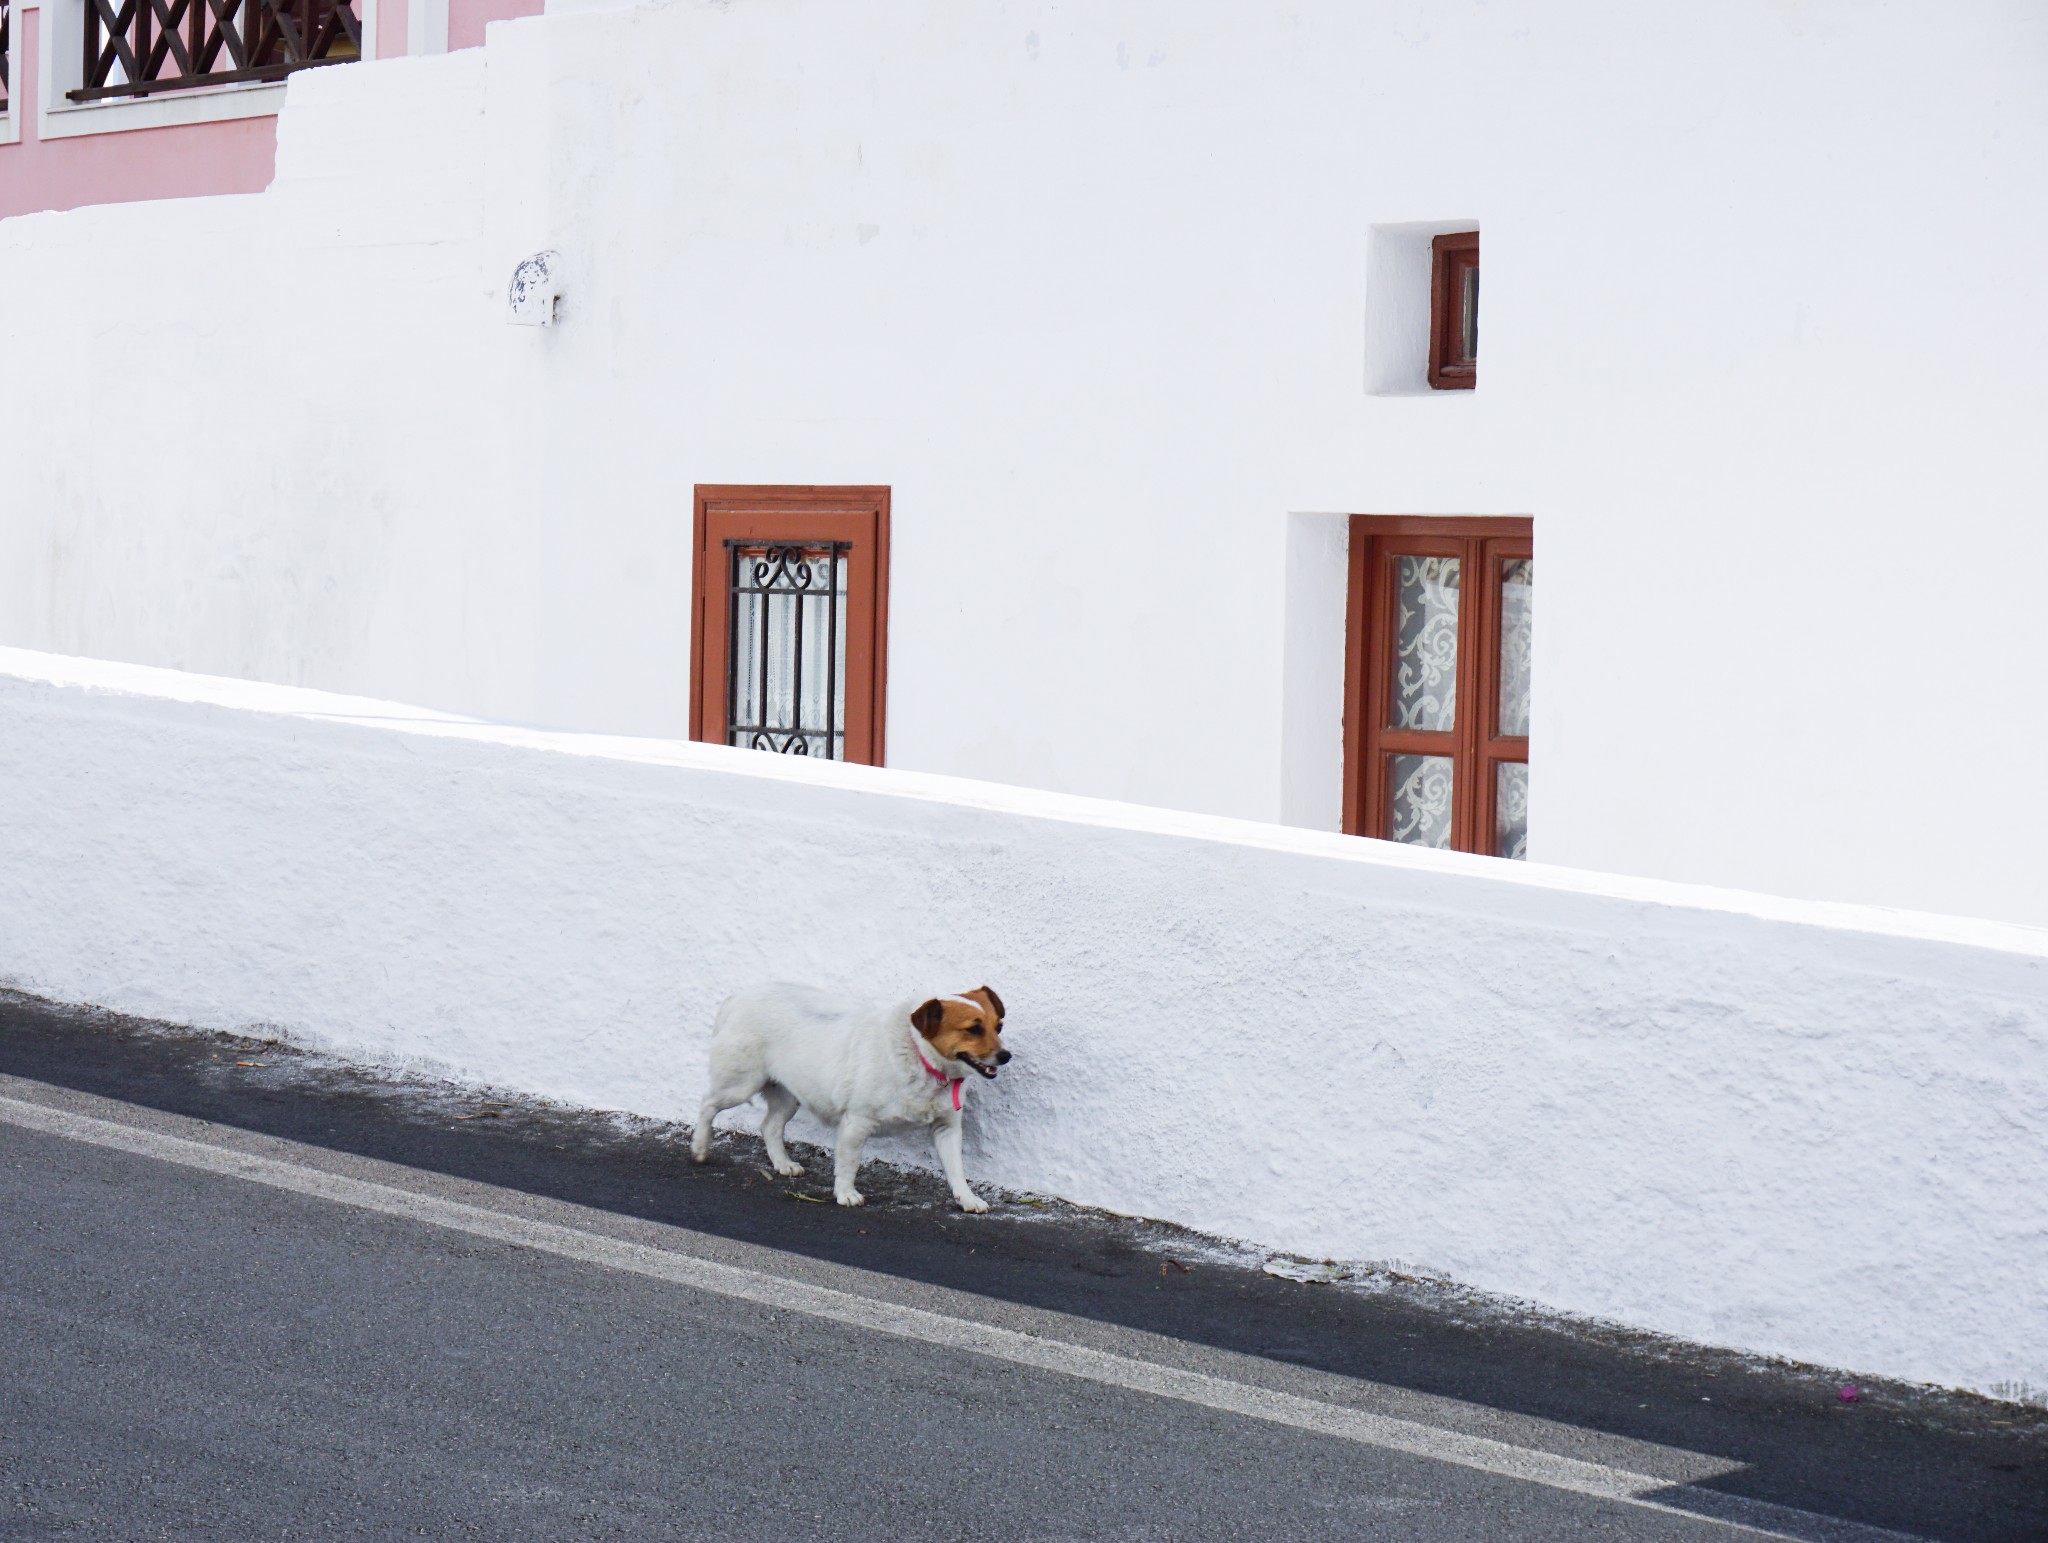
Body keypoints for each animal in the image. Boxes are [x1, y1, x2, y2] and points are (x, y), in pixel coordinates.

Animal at [692, 979, 1011, 1213]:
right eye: (974, 1029)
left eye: (998, 1026)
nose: (1006, 1056)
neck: (920, 1056)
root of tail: (738, 998)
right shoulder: (856, 1123)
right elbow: (849, 1164)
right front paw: (845, 1193)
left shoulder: (946, 1128)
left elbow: (957, 1171)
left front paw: (967, 1199)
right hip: (740, 1085)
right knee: (707, 1104)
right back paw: (699, 1148)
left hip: (789, 1095)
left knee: (769, 1126)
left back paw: (783, 1164)